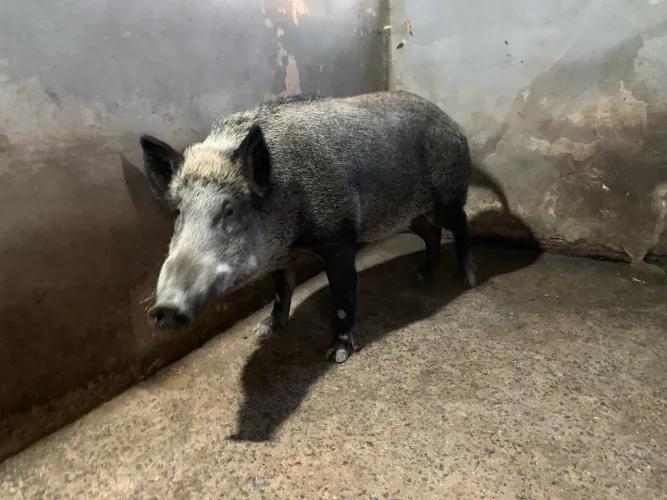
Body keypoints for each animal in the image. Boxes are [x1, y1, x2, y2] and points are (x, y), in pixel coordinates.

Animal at [139, 90, 476, 363]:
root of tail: (453, 124)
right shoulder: (280, 256)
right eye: (179, 211)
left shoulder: (339, 238)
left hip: (447, 197)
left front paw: (337, 355)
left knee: (461, 226)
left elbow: (343, 296)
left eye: (230, 209)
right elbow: (281, 289)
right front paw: (265, 330)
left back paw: (467, 280)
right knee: (431, 233)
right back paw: (420, 275)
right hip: (412, 214)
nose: (164, 309)